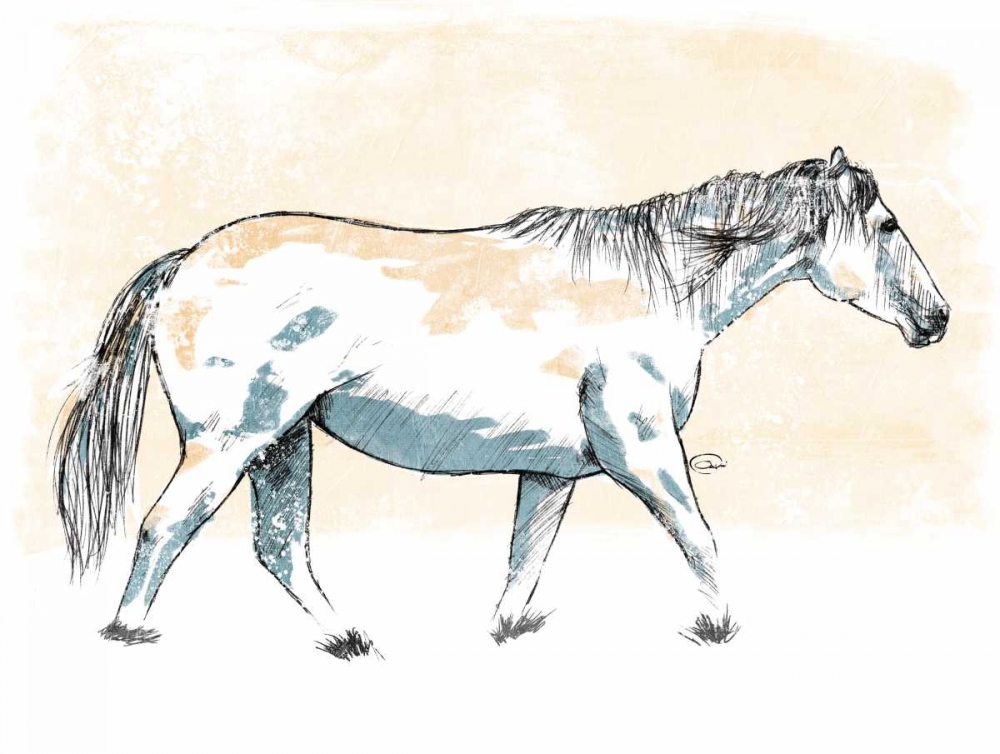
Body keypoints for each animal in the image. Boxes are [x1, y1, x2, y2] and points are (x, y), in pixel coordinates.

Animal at [52, 146, 950, 655]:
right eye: (886, 225)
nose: (937, 319)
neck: (657, 286)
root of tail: (185, 261)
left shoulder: (553, 473)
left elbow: (525, 560)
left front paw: (504, 634)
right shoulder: (642, 449)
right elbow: (698, 536)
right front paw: (720, 626)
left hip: (283, 443)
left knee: (280, 548)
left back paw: (348, 637)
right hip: (233, 440)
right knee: (168, 526)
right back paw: (128, 634)